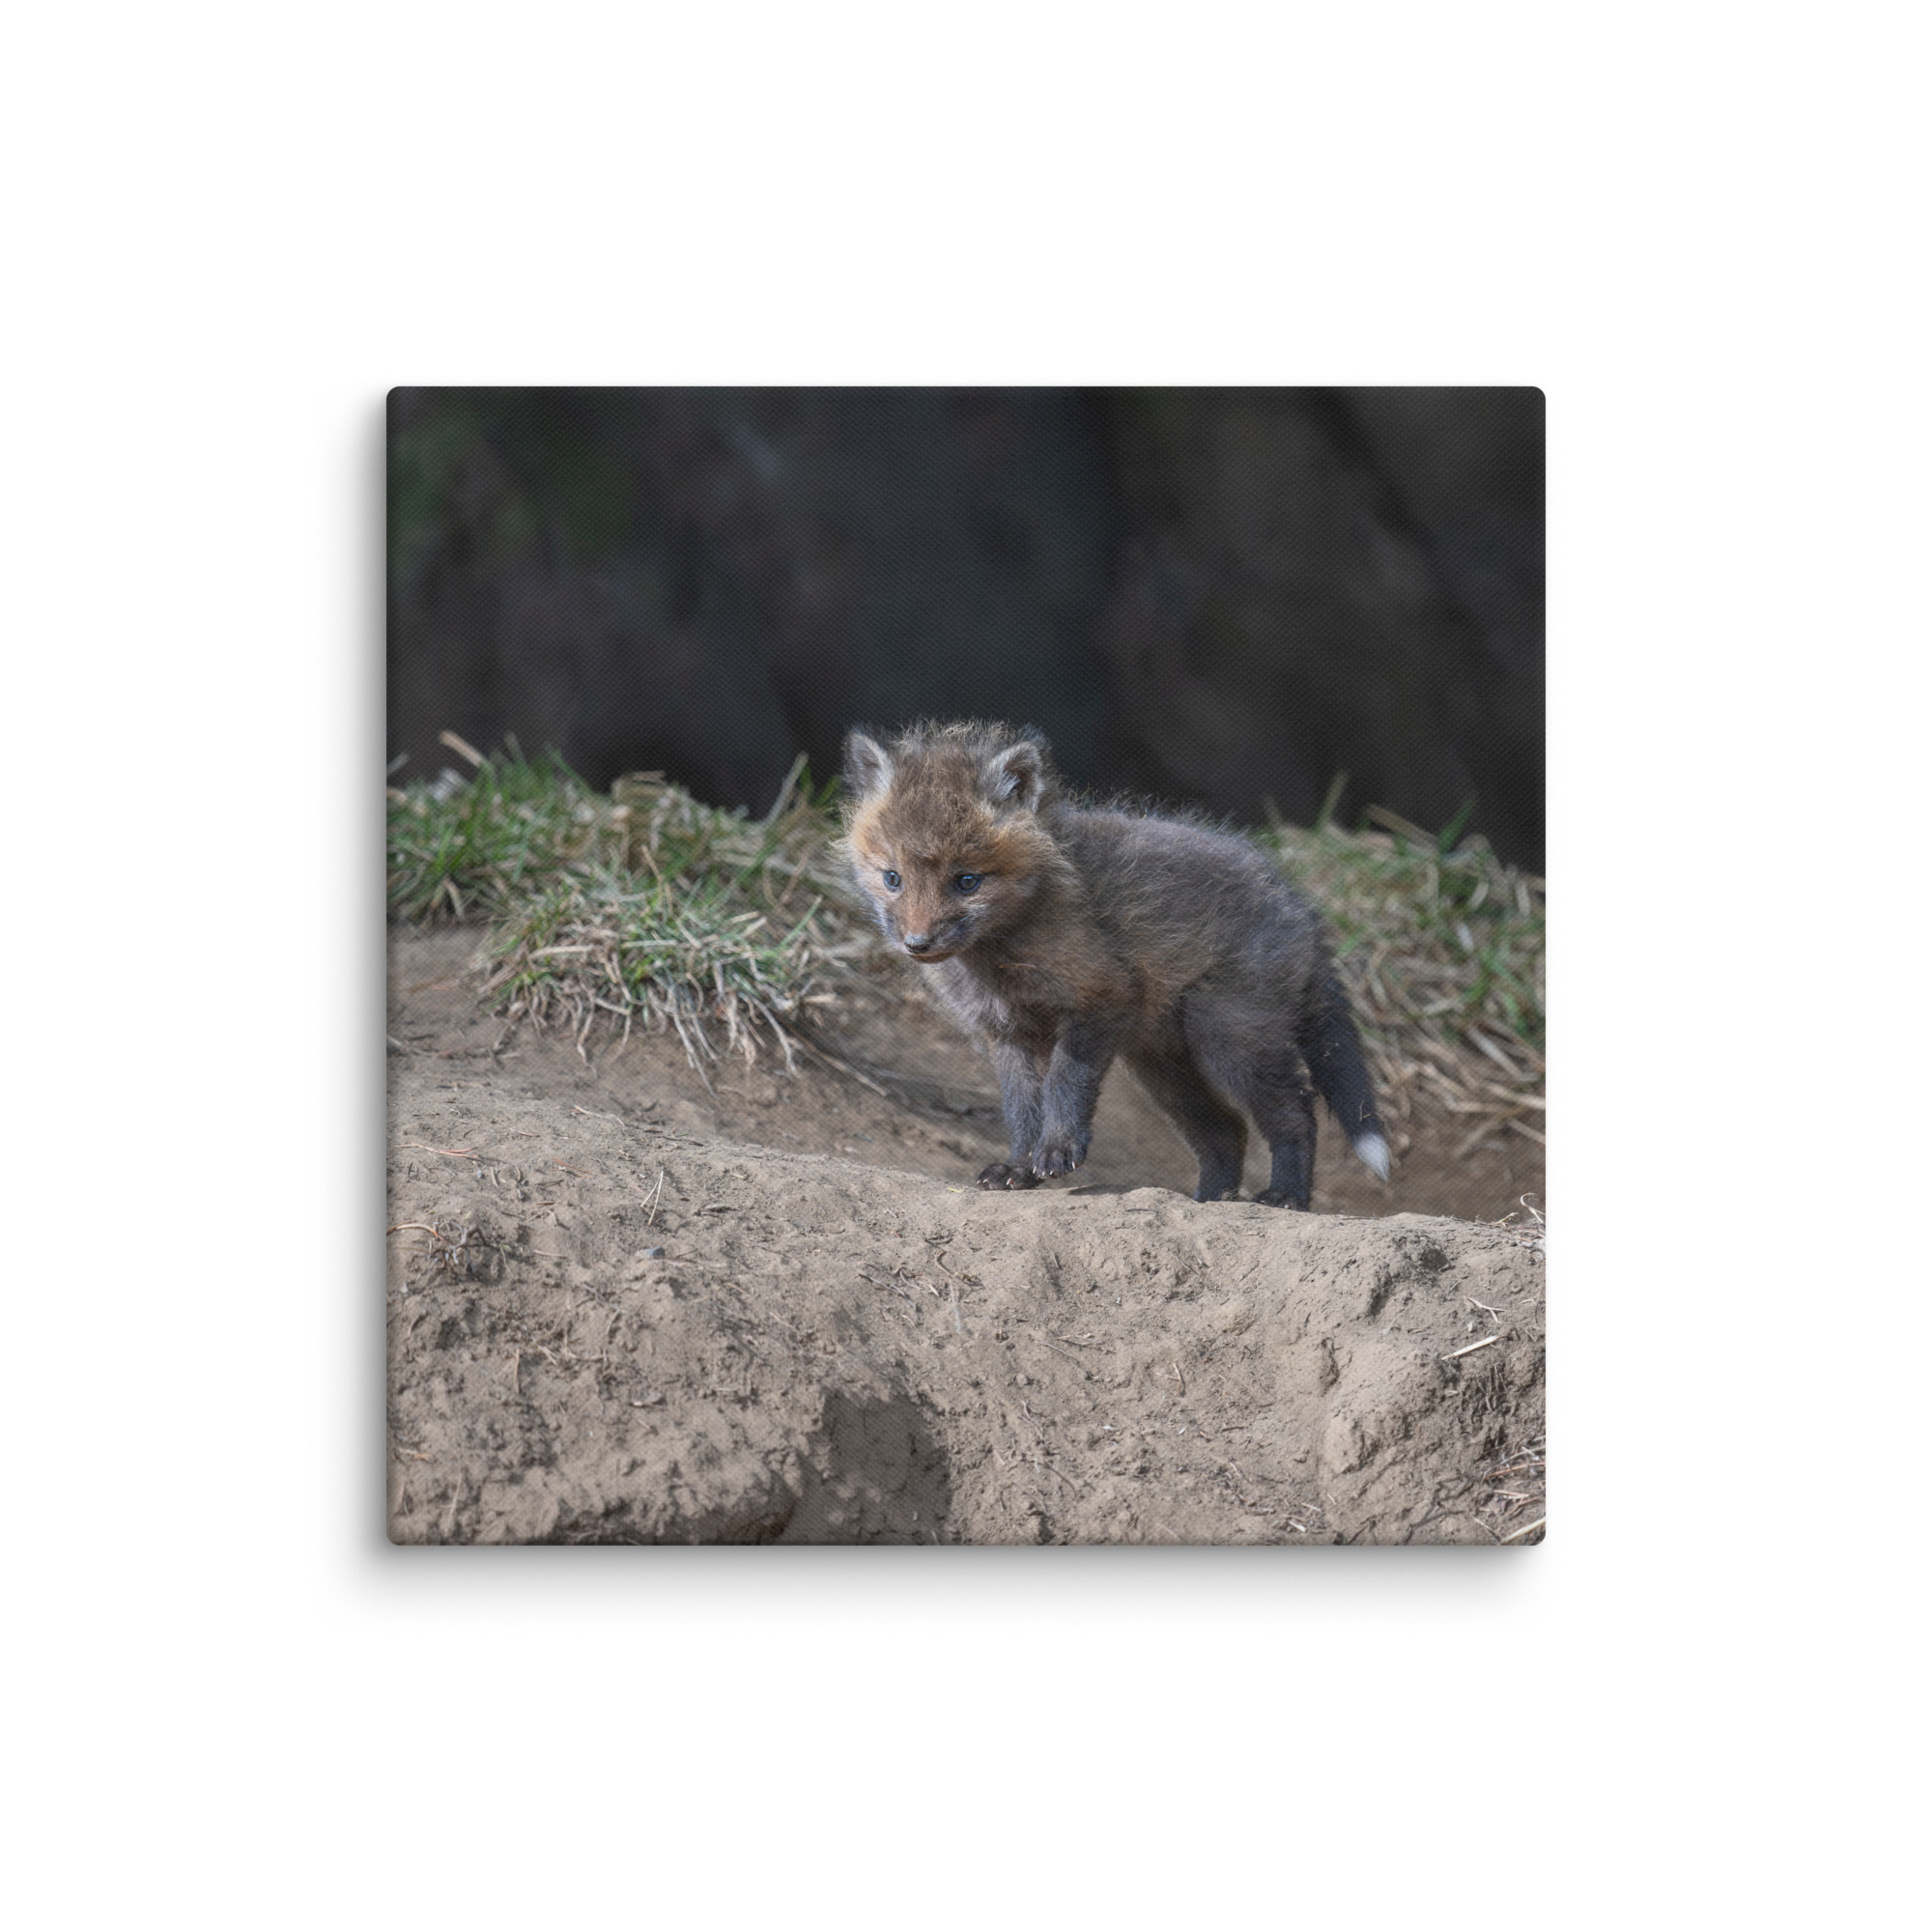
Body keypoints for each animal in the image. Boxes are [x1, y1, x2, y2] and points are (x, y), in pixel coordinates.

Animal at [840, 719, 1391, 1209]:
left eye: (967, 881)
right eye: (892, 878)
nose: (917, 943)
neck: (999, 959)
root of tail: (1300, 907)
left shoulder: (1100, 997)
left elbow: (1065, 1083)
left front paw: (1058, 1150)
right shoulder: (1007, 1033)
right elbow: (1021, 1109)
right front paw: (1019, 1167)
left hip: (1229, 1039)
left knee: (1296, 1113)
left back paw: (1286, 1196)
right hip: (1163, 1066)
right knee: (1227, 1130)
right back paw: (1210, 1201)